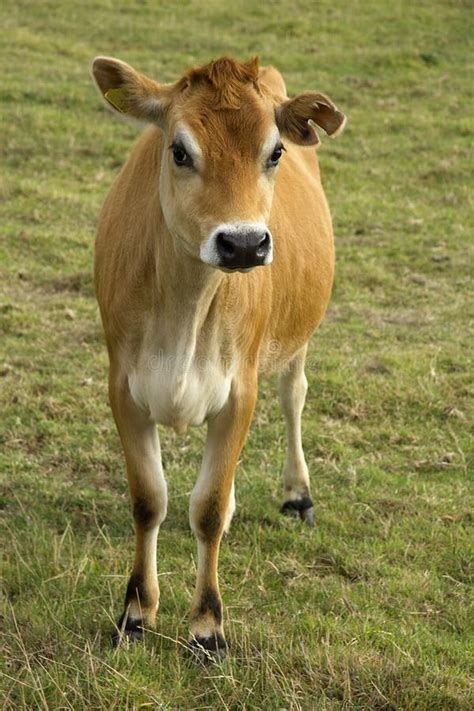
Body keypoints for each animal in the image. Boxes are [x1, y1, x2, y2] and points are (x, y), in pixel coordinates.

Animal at [91, 52, 344, 660]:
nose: (245, 243)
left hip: (297, 337)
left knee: (294, 396)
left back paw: (297, 495)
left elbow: (206, 508)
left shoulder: (238, 392)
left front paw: (207, 628)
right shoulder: (123, 387)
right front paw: (135, 612)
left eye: (274, 152)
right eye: (179, 150)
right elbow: (148, 499)